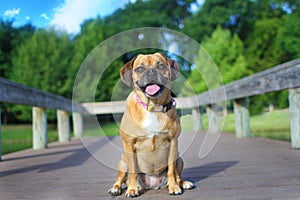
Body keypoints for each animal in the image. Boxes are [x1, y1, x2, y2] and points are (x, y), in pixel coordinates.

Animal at [109, 52, 193, 198]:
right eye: (140, 69)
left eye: (160, 65)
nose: (151, 71)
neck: (153, 107)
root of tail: (152, 185)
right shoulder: (129, 145)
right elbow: (133, 172)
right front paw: (131, 190)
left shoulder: (173, 143)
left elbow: (171, 171)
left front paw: (174, 187)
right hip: (123, 162)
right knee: (120, 178)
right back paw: (118, 188)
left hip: (179, 159)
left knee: (177, 175)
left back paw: (182, 183)